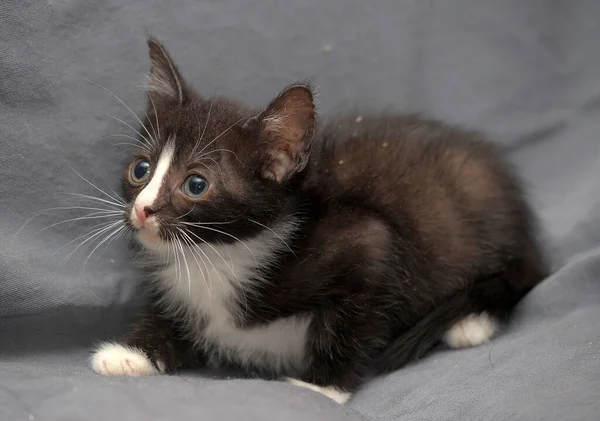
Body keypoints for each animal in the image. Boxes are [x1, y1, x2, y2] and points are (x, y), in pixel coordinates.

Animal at [90, 39, 548, 404]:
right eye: (141, 169)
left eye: (196, 184)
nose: (142, 209)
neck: (220, 257)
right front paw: (131, 354)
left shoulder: (367, 243)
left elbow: (352, 315)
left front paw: (321, 387)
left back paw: (471, 323)